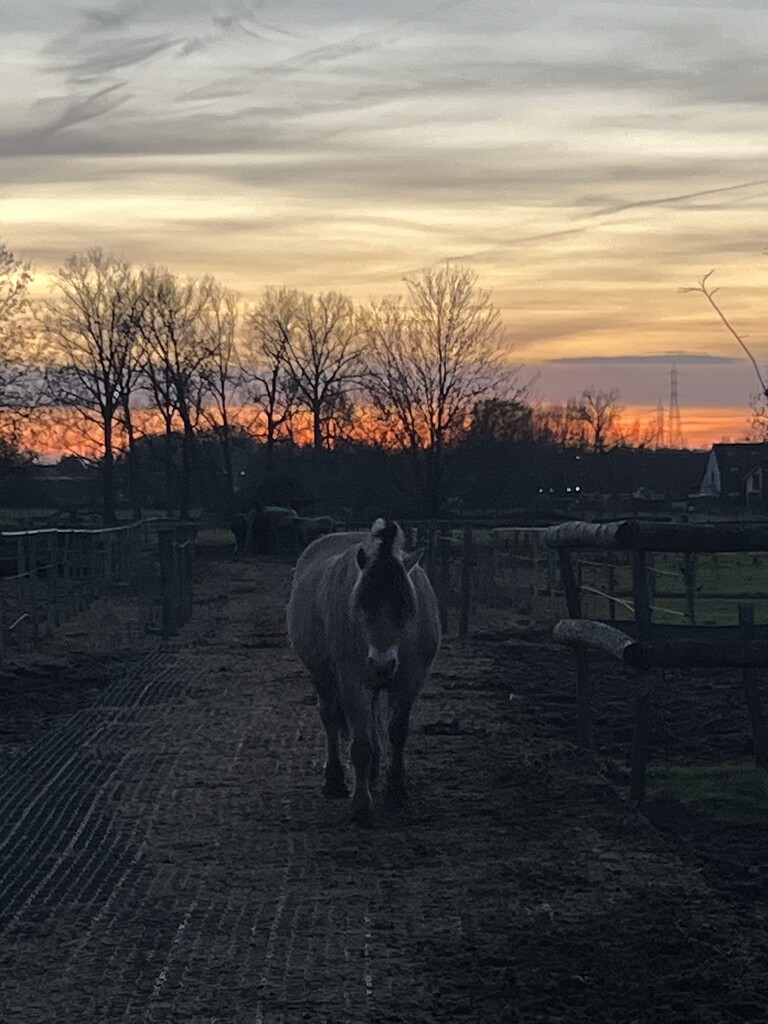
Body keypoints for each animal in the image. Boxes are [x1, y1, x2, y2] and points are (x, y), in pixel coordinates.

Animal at [286, 520, 442, 823]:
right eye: (361, 606)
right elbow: (360, 745)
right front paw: (361, 804)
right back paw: (335, 781)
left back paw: (371, 773)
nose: (382, 663)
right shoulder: (351, 681)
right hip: (323, 677)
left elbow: (397, 732)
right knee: (330, 718)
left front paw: (397, 788)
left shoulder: (410, 681)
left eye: (405, 606)